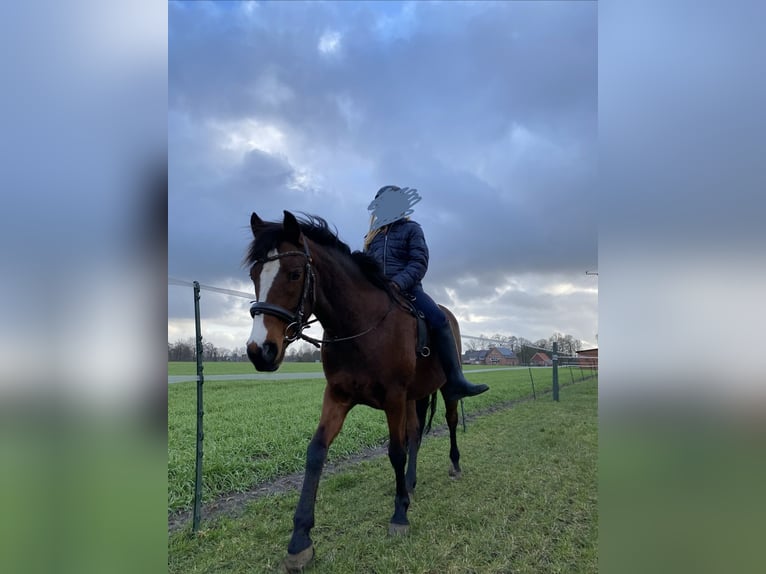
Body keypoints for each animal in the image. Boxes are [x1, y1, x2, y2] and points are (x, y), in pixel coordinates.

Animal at [245, 211, 466, 572]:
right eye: (253, 275)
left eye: (294, 274)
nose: (259, 351)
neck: (361, 328)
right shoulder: (337, 396)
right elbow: (316, 452)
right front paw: (300, 541)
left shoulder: (393, 398)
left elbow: (395, 451)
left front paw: (399, 516)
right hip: (414, 398)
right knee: (416, 433)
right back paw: (410, 484)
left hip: (445, 389)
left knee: (449, 422)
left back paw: (454, 467)